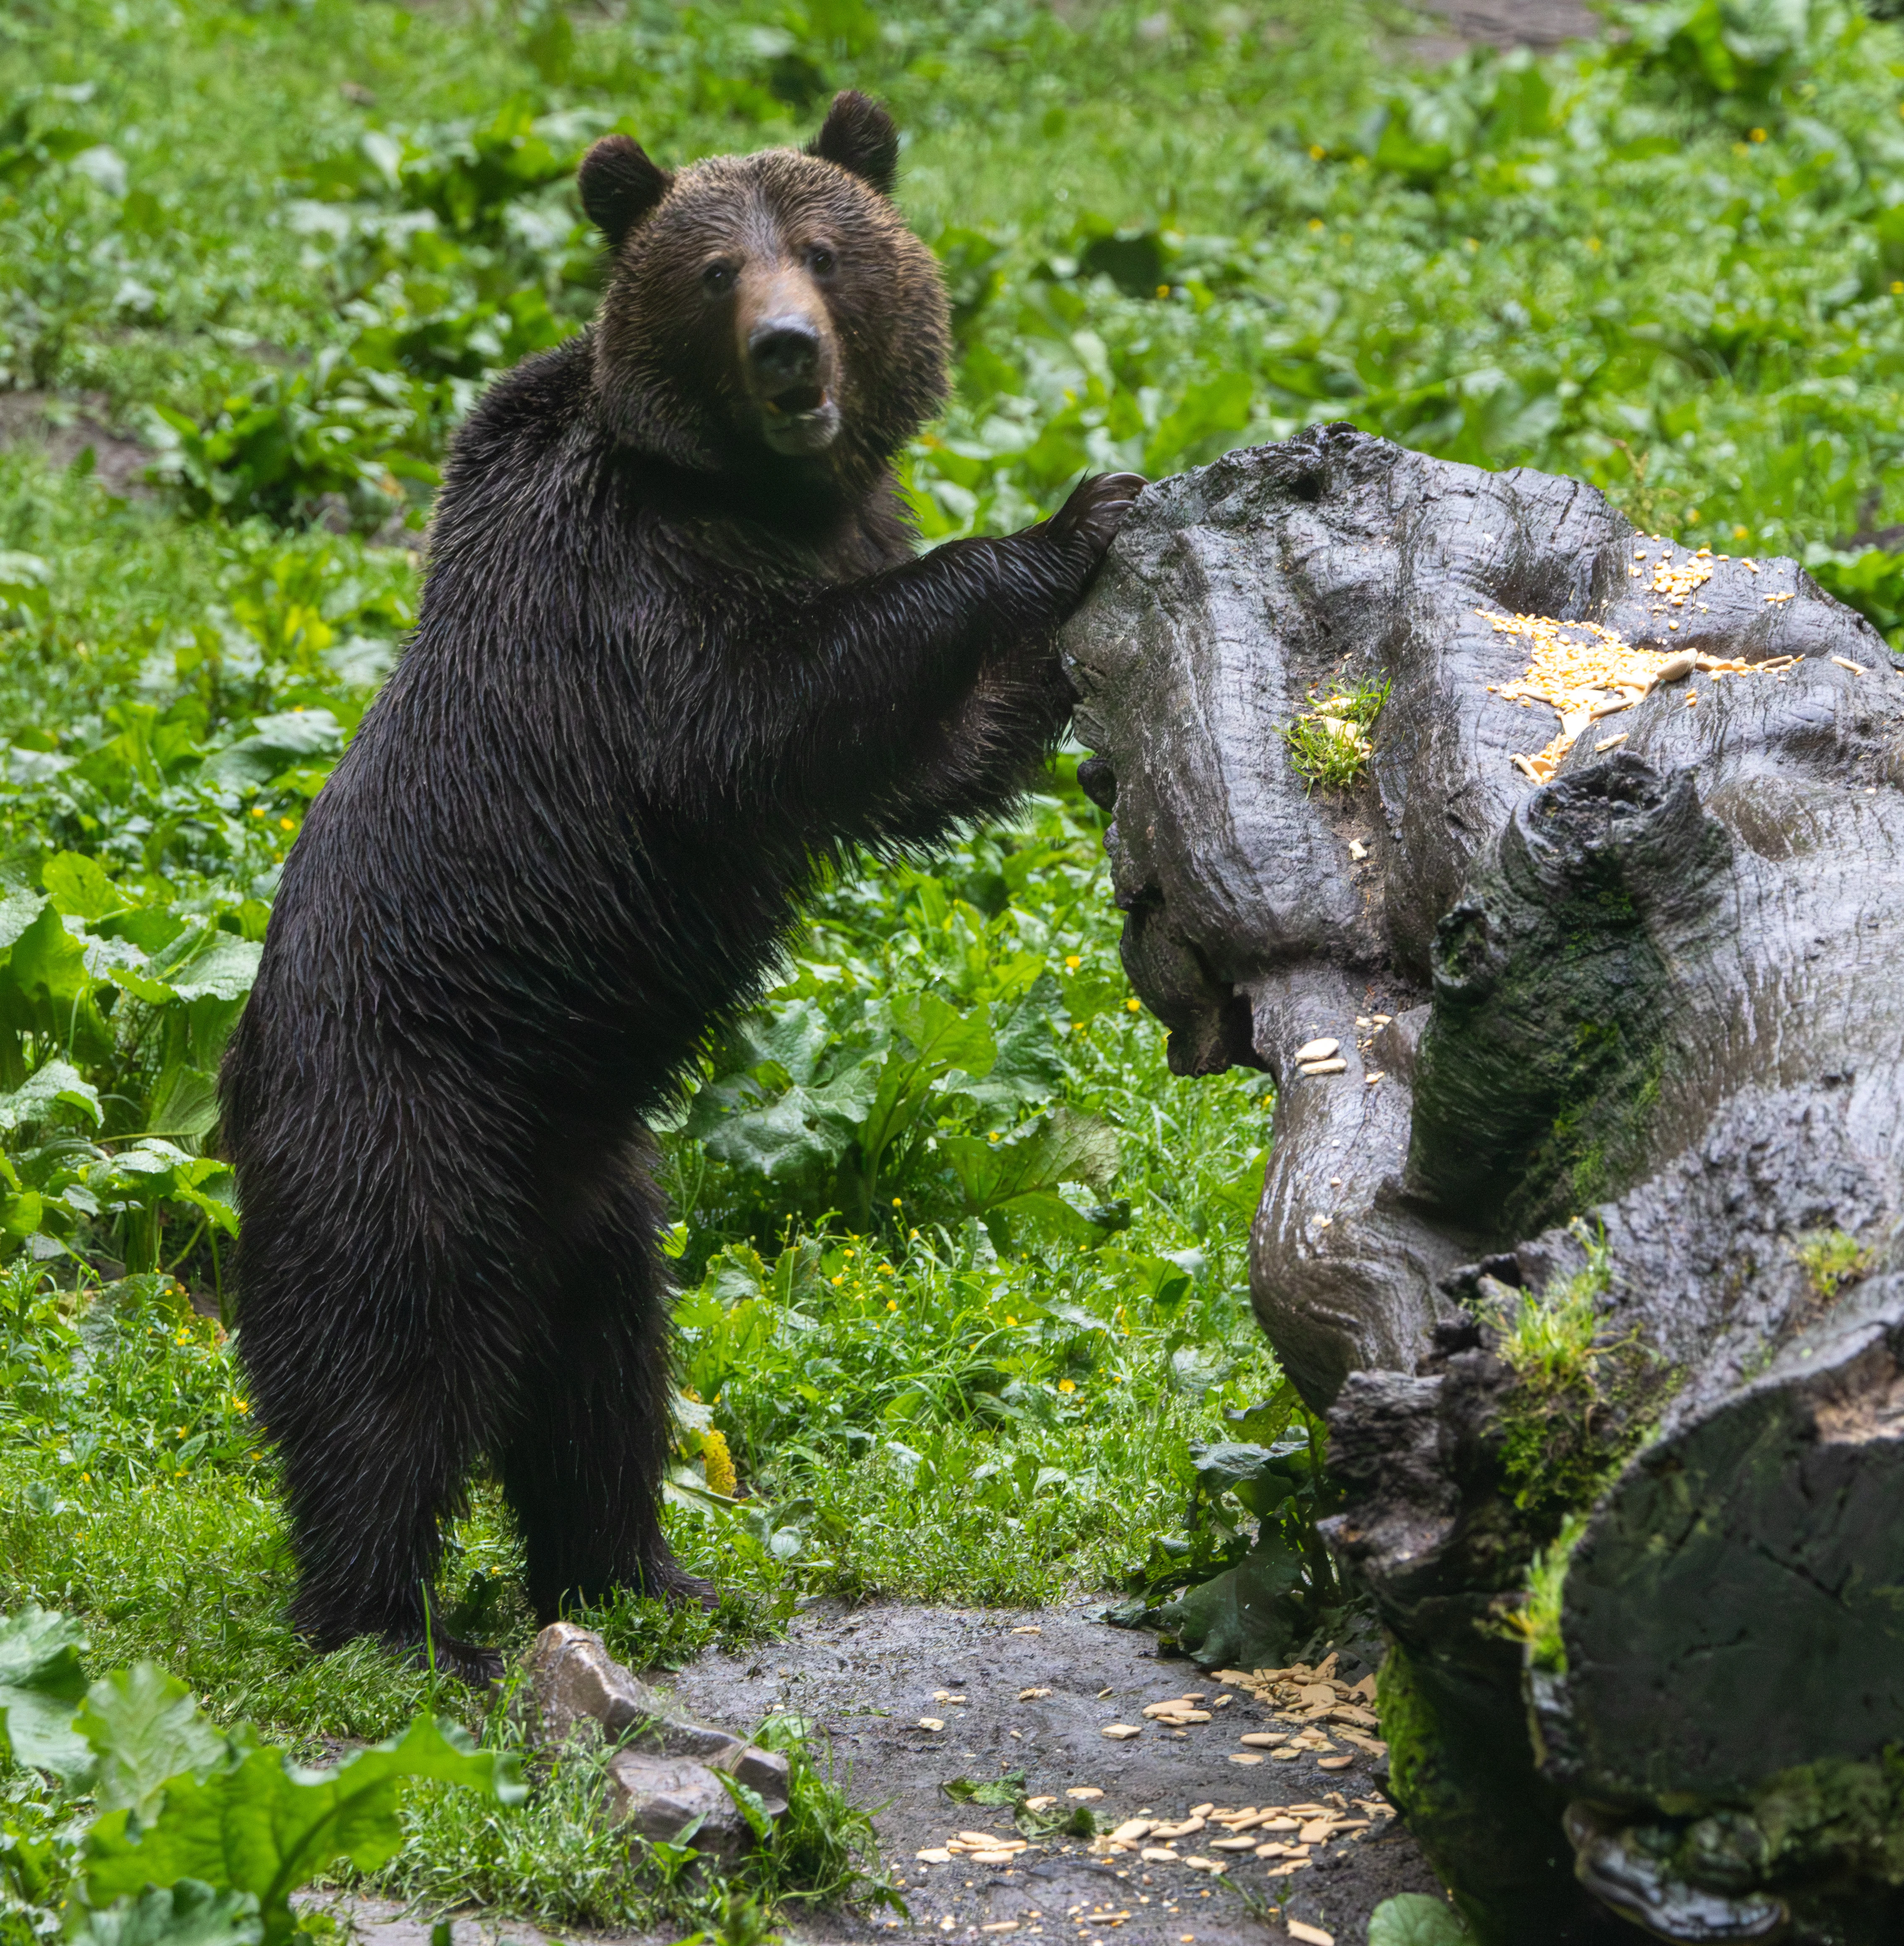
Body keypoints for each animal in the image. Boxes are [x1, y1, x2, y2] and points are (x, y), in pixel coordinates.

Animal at [218, 90, 1142, 1683]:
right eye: (718, 272)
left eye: (824, 250)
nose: (788, 352)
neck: (761, 495)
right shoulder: (630, 602)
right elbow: (768, 710)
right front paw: (1064, 525)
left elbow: (917, 768)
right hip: (408, 1122)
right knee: (385, 1365)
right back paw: (390, 1625)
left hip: (596, 1191)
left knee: (605, 1380)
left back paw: (646, 1572)